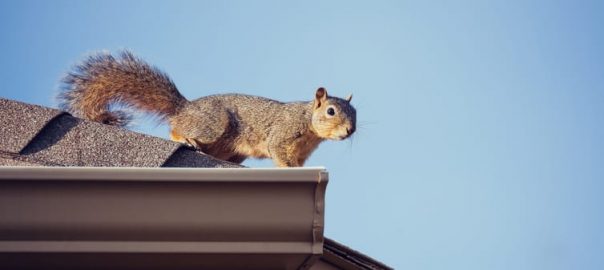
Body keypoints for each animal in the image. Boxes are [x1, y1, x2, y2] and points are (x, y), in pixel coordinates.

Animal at [57, 49, 354, 166]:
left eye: (355, 113)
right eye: (331, 111)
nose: (350, 130)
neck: (308, 122)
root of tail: (185, 108)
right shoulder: (283, 134)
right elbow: (279, 152)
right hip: (213, 124)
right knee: (176, 129)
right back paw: (184, 138)